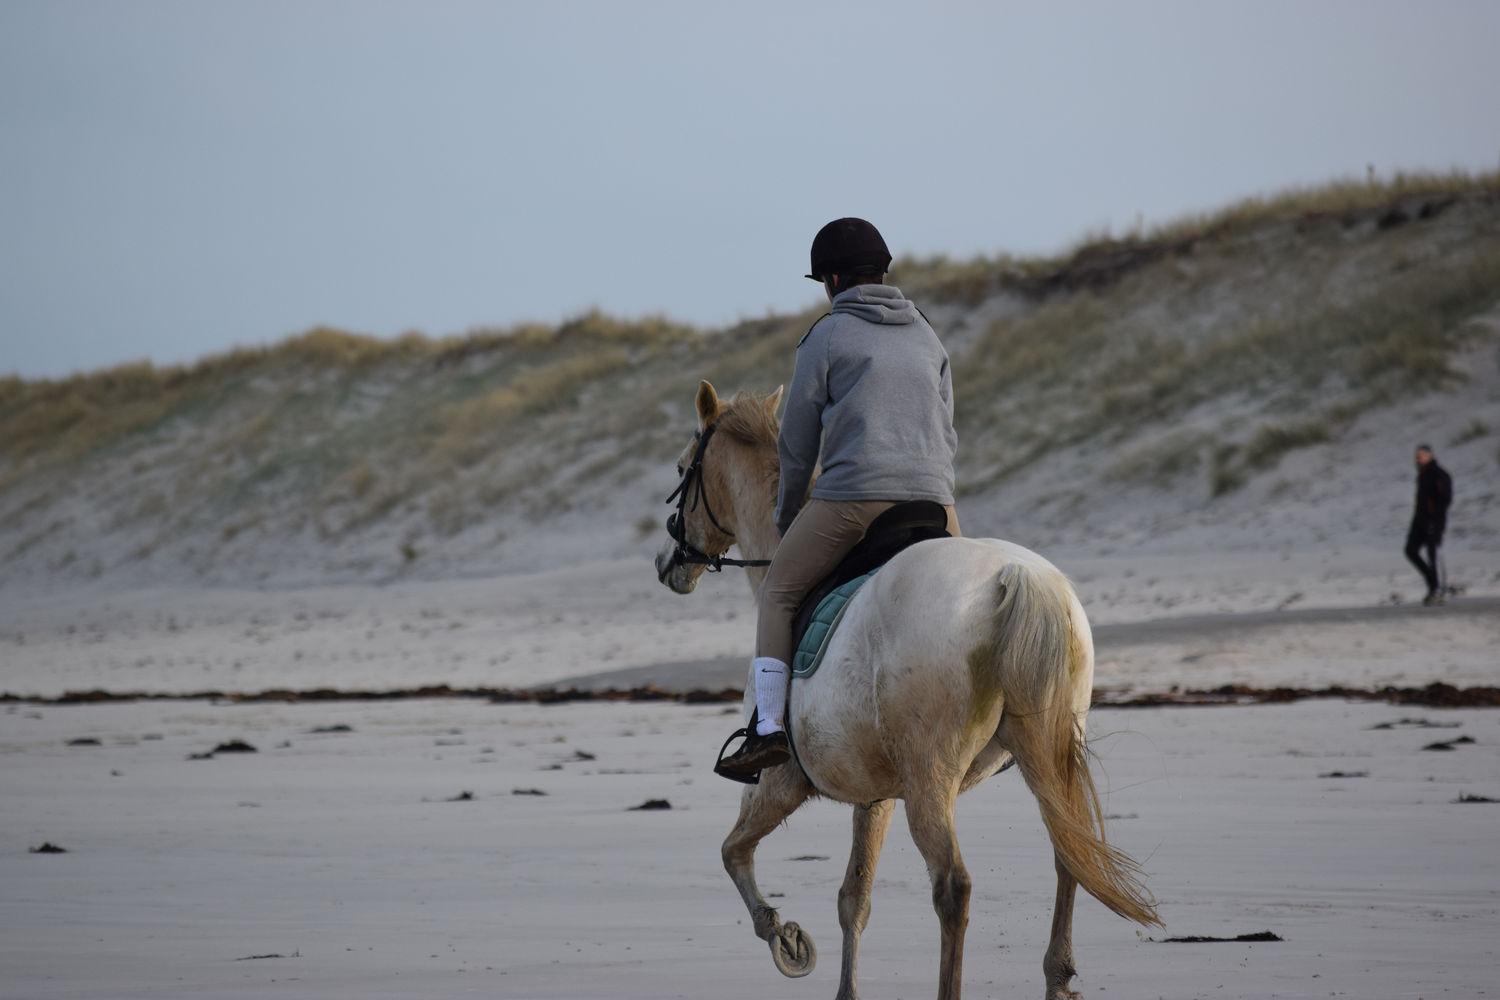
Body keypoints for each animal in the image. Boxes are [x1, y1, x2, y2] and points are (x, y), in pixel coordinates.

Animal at [651, 380, 1152, 1000]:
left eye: (681, 469)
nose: (667, 562)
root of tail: (1014, 575)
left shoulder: (782, 781)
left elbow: (733, 852)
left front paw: (785, 939)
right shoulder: (876, 796)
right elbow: (854, 899)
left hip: (930, 778)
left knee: (953, 886)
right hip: (1042, 754)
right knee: (1069, 851)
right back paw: (1058, 978)